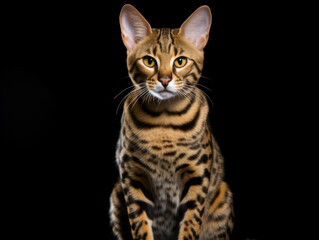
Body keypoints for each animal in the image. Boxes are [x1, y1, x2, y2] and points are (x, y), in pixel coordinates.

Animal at [110, 3, 235, 240]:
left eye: (180, 61)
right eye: (149, 61)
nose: (165, 79)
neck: (164, 121)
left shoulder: (198, 177)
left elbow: (190, 225)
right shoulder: (131, 177)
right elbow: (140, 226)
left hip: (223, 197)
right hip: (115, 195)